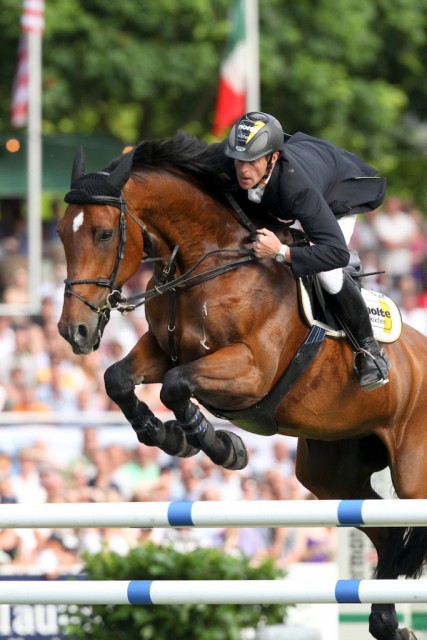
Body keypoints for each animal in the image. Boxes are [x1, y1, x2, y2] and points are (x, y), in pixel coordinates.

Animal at [57, 131, 427, 640]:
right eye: (59, 233)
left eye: (104, 234)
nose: (73, 331)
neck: (205, 263)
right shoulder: (162, 347)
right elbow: (119, 379)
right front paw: (166, 436)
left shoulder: (250, 371)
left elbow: (175, 386)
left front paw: (219, 445)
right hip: (332, 471)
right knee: (388, 531)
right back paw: (387, 622)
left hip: (412, 474)